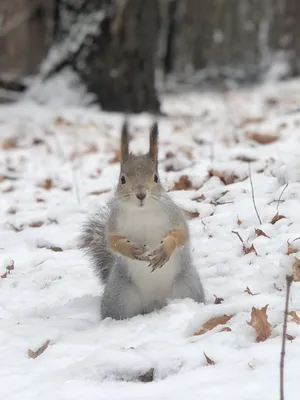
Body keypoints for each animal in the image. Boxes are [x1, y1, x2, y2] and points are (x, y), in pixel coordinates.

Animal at [78, 119, 205, 318]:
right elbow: (112, 241)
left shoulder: (174, 215)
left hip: (187, 286)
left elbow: (181, 234)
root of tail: (155, 305)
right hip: (120, 296)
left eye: (156, 177)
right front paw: (131, 249)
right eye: (122, 179)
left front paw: (165, 249)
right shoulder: (114, 223)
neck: (142, 212)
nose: (140, 194)